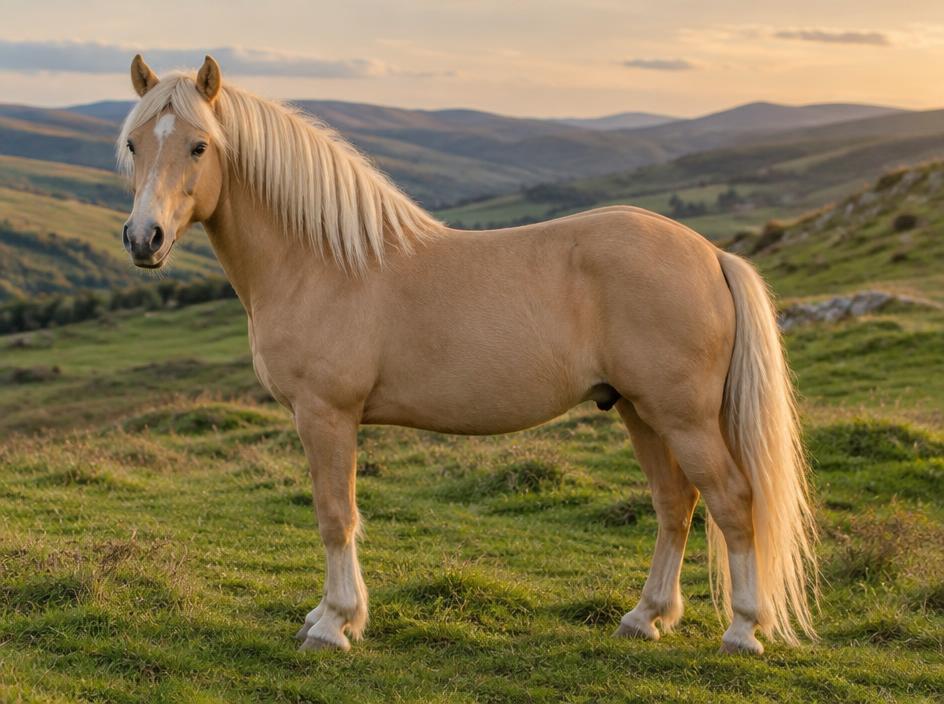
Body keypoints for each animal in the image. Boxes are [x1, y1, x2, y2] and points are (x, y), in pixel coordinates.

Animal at [117, 54, 817, 655]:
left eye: (199, 146)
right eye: (134, 144)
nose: (143, 238)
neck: (320, 261)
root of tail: (711, 254)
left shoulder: (326, 415)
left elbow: (335, 516)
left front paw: (334, 624)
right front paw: (328, 614)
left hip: (682, 416)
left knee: (732, 502)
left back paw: (742, 631)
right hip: (639, 411)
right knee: (676, 505)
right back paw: (646, 617)